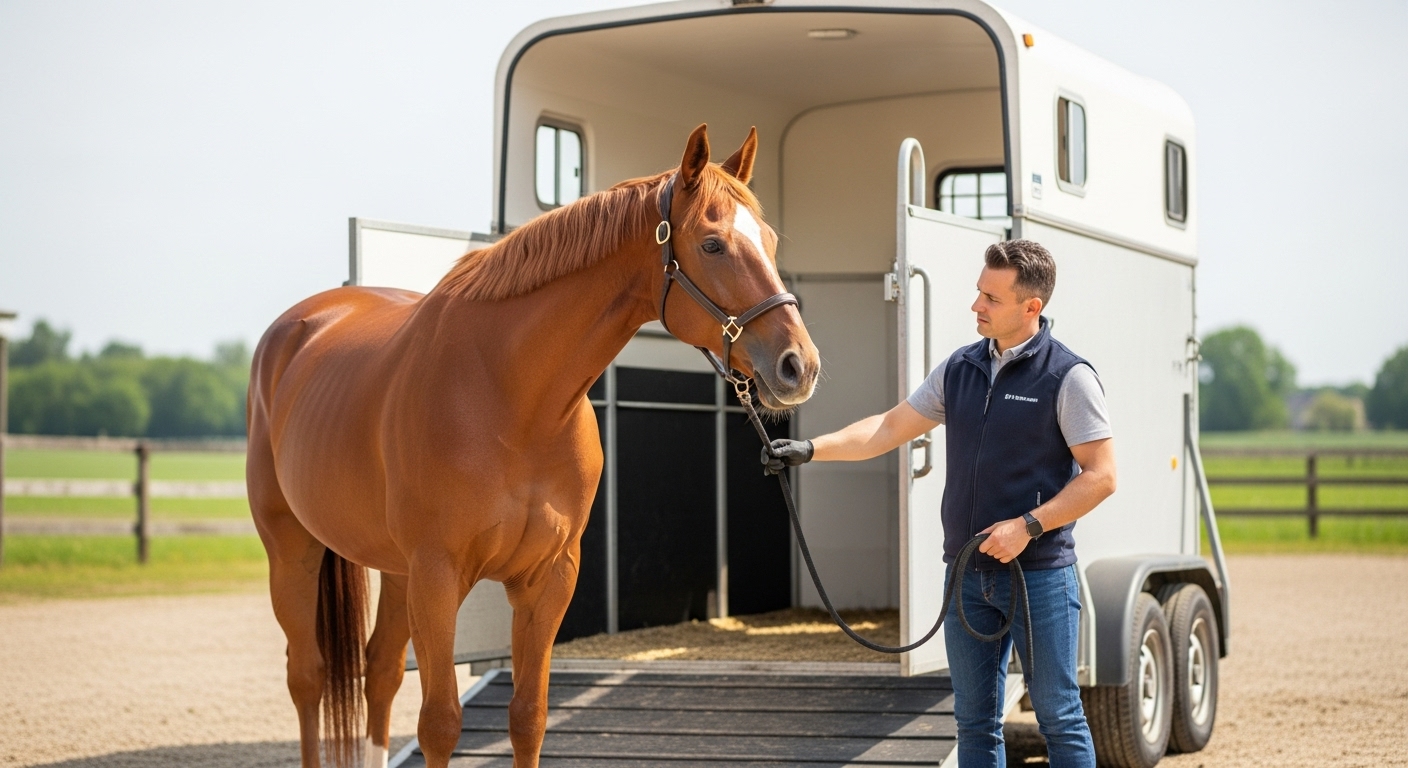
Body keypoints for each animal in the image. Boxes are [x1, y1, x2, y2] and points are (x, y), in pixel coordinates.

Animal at [246, 124, 821, 768]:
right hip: (292, 550)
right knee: (309, 676)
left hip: (394, 572)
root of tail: (300, 325)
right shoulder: (438, 577)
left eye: (769, 239)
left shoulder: (548, 577)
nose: (799, 365)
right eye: (714, 244)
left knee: (381, 672)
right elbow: (440, 723)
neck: (510, 397)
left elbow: (529, 716)